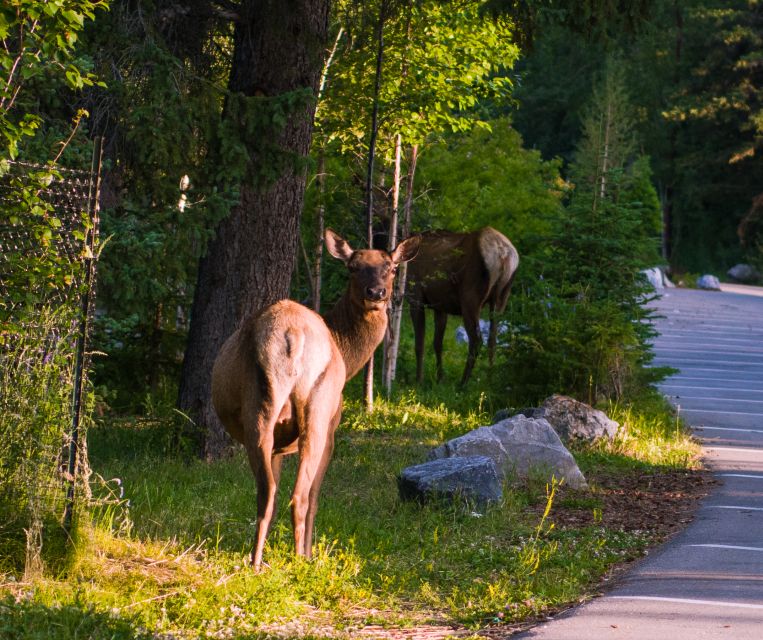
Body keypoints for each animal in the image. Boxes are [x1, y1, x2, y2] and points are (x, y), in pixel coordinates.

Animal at [212, 228, 420, 568]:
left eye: (390, 267)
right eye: (353, 267)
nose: (376, 292)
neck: (347, 354)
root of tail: (293, 334)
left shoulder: (280, 446)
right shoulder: (334, 429)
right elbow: (315, 497)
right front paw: (309, 552)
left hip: (263, 408)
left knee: (267, 492)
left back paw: (255, 561)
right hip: (319, 411)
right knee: (301, 495)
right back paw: (301, 561)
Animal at [406, 225, 520, 384]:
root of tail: (502, 254)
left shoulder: (415, 296)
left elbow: (419, 343)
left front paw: (419, 380)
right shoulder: (440, 305)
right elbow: (437, 343)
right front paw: (439, 378)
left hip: (470, 298)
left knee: (476, 340)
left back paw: (463, 382)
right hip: (502, 297)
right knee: (493, 339)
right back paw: (490, 379)